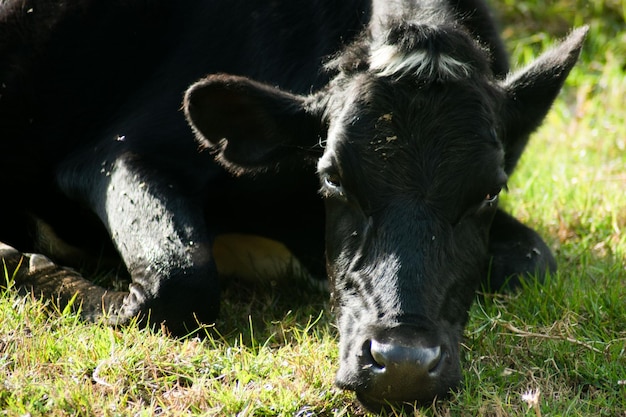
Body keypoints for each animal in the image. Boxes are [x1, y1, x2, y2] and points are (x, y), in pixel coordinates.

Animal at [1, 0, 584, 410]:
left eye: (489, 191)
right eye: (332, 178)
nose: (403, 364)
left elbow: (535, 258)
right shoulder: (115, 152)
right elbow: (180, 277)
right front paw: (34, 265)